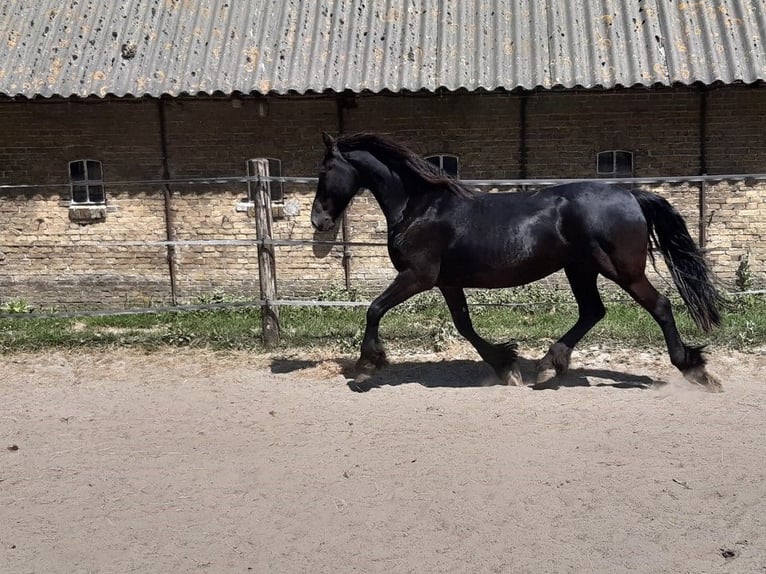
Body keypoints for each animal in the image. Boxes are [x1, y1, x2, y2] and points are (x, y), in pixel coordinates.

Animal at [312, 132, 728, 392]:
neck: (420, 207)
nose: (319, 221)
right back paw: (547, 366)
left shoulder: (417, 275)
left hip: (621, 269)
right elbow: (464, 325)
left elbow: (374, 308)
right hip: (580, 268)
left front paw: (367, 366)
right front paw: (504, 365)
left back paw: (694, 369)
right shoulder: (447, 281)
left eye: (324, 170)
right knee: (593, 311)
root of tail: (631, 195)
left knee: (660, 306)